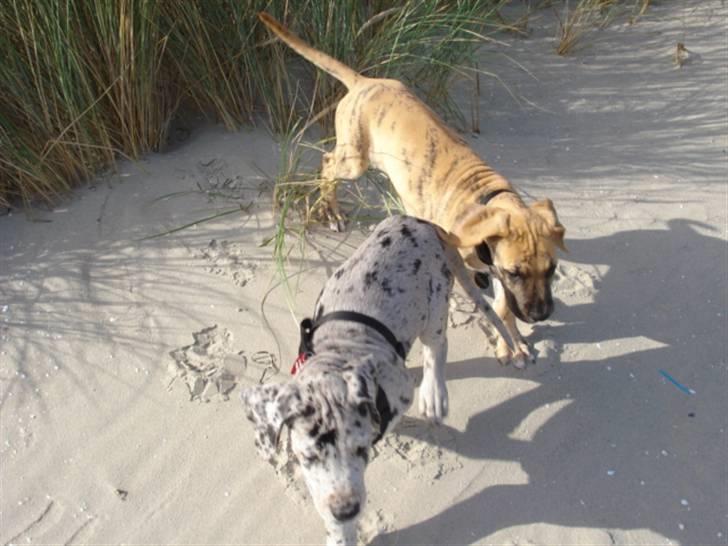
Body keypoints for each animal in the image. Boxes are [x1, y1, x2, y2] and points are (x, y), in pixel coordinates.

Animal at [242, 214, 510, 544]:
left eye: (362, 449)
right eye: (308, 458)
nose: (346, 510)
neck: (339, 350)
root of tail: (422, 222)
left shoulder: (399, 389)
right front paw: (340, 532)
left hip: (435, 304)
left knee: (436, 347)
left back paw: (434, 393)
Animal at [258, 13, 564, 366]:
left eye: (552, 269)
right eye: (516, 273)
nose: (541, 315)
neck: (487, 198)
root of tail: (363, 81)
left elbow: (503, 307)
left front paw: (511, 342)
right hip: (354, 160)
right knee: (328, 163)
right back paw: (331, 210)